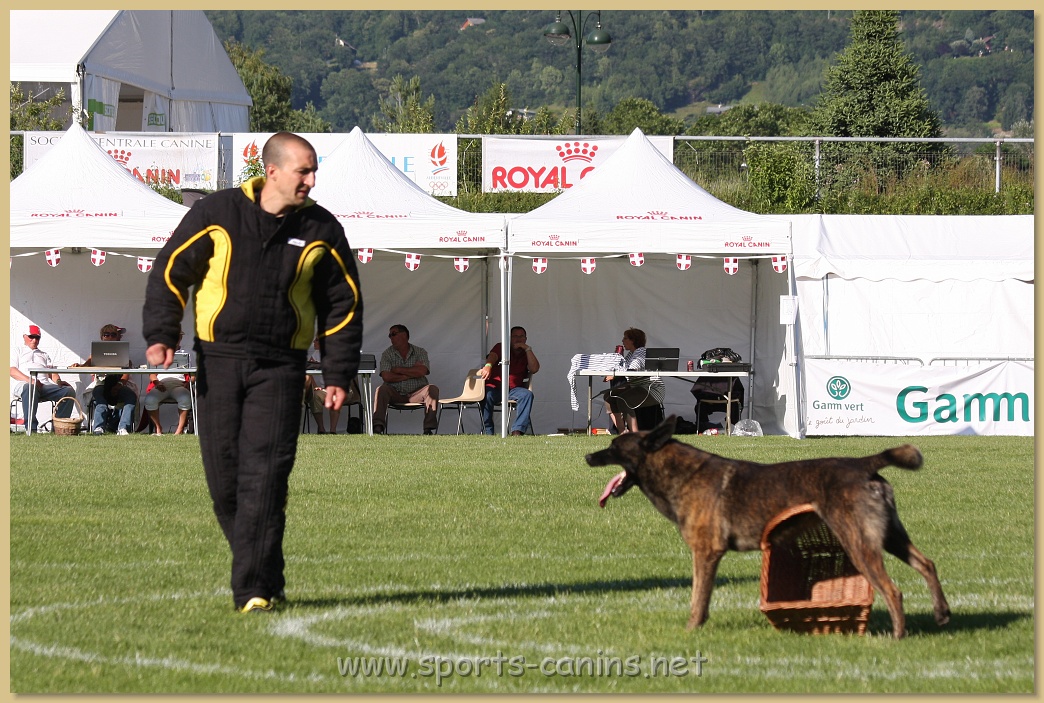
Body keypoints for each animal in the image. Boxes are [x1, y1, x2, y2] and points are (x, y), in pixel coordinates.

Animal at [586, 415, 950, 638]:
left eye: (614, 447)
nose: (588, 456)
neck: (680, 473)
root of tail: (862, 464)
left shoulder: (706, 553)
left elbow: (697, 599)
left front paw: (691, 630)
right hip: (891, 537)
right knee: (928, 564)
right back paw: (942, 614)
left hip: (859, 544)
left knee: (893, 590)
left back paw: (897, 636)